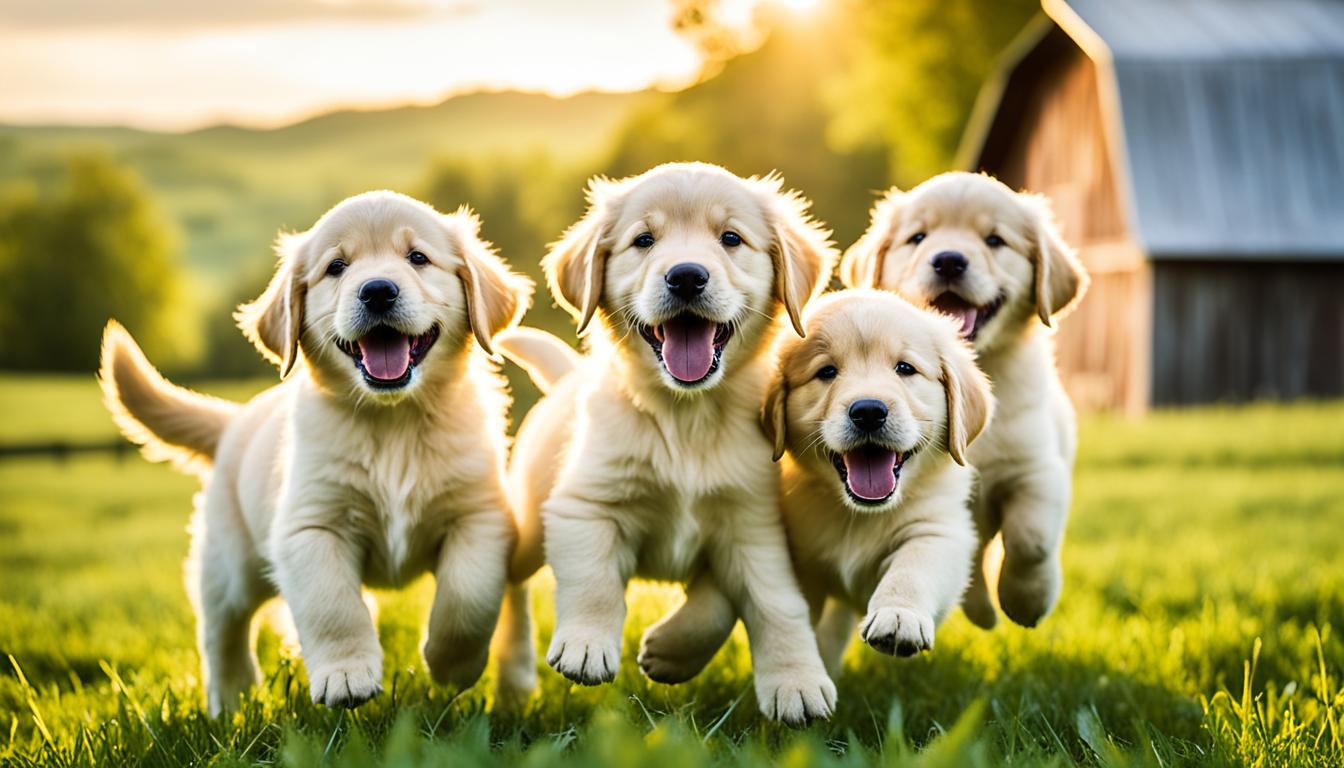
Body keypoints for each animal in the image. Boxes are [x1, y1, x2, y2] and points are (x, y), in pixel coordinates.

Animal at [99, 190, 532, 715]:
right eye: (336, 267)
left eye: (418, 258)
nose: (378, 291)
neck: (394, 421)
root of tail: (234, 420)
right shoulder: (310, 527)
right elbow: (332, 605)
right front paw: (347, 677)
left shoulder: (479, 517)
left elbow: (467, 597)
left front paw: (451, 666)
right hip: (228, 564)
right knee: (222, 632)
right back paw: (231, 703)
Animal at [494, 162, 838, 726]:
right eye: (644, 240)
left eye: (730, 238)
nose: (686, 276)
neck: (686, 415)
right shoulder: (584, 505)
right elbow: (593, 580)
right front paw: (586, 646)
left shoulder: (753, 525)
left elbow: (766, 602)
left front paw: (795, 682)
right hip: (529, 519)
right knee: (512, 581)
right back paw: (515, 671)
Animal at [628, 291, 989, 675]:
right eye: (826, 372)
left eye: (905, 368)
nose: (868, 411)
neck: (857, 514)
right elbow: (727, 596)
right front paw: (671, 648)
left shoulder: (941, 528)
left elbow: (915, 566)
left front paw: (898, 617)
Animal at [838, 171, 1091, 626]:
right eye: (918, 237)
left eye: (994, 240)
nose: (949, 261)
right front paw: (992, 603)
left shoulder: (1037, 467)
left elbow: (1031, 539)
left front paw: (1027, 599)